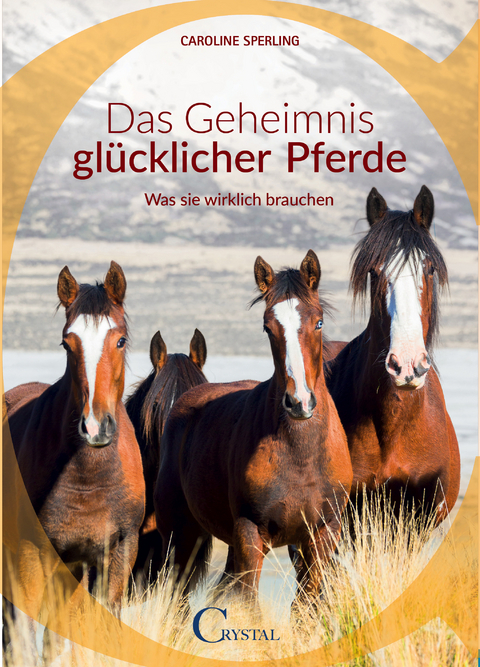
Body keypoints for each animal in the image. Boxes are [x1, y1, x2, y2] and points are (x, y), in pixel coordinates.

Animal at [3, 262, 145, 632]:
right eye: (67, 344)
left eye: (120, 340)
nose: (94, 427)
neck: (89, 476)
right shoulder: (31, 555)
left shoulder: (119, 552)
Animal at [154, 251, 352, 611]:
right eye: (267, 326)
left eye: (318, 322)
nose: (299, 402)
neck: (301, 455)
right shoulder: (250, 533)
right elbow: (250, 605)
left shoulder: (322, 534)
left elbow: (304, 607)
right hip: (180, 536)